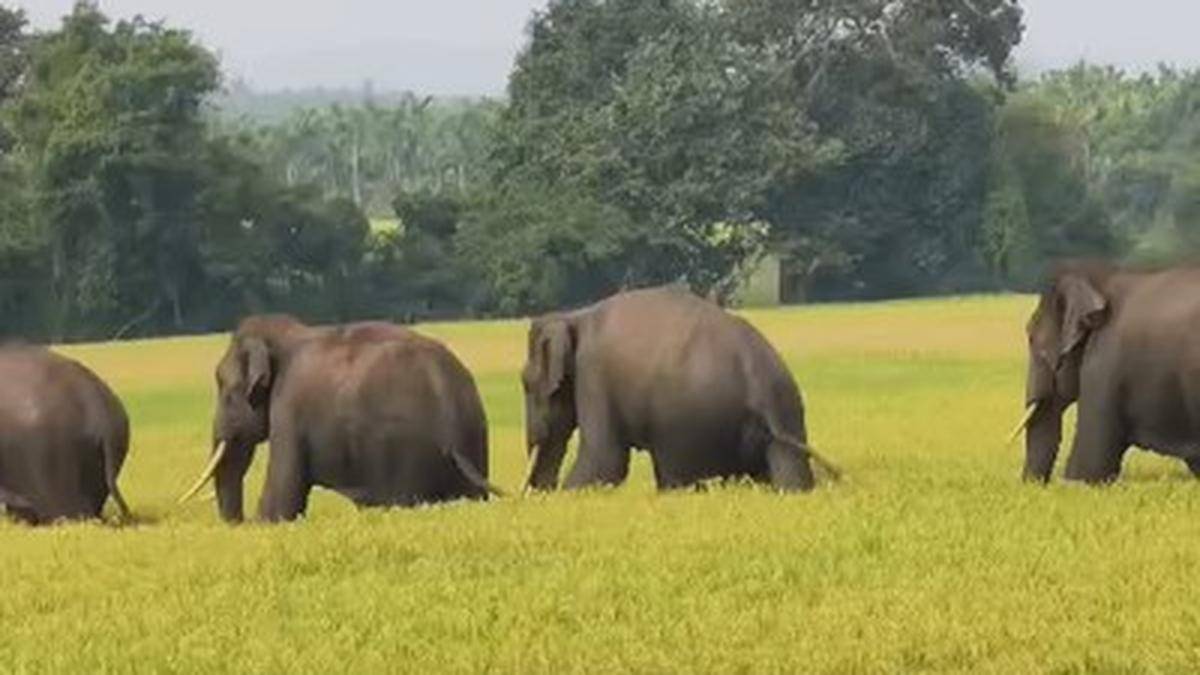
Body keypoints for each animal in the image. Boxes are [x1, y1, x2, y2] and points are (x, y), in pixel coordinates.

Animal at [179, 315, 503, 523]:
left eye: (226, 391)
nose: (238, 523)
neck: (285, 335)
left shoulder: (290, 405)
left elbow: (284, 495)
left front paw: (264, 522)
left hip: (406, 451)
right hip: (475, 439)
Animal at [521, 286, 838, 492]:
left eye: (525, 382)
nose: (533, 495)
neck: (573, 317)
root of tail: (758, 390)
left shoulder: (593, 372)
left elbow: (604, 461)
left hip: (688, 421)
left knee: (675, 473)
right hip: (786, 410)